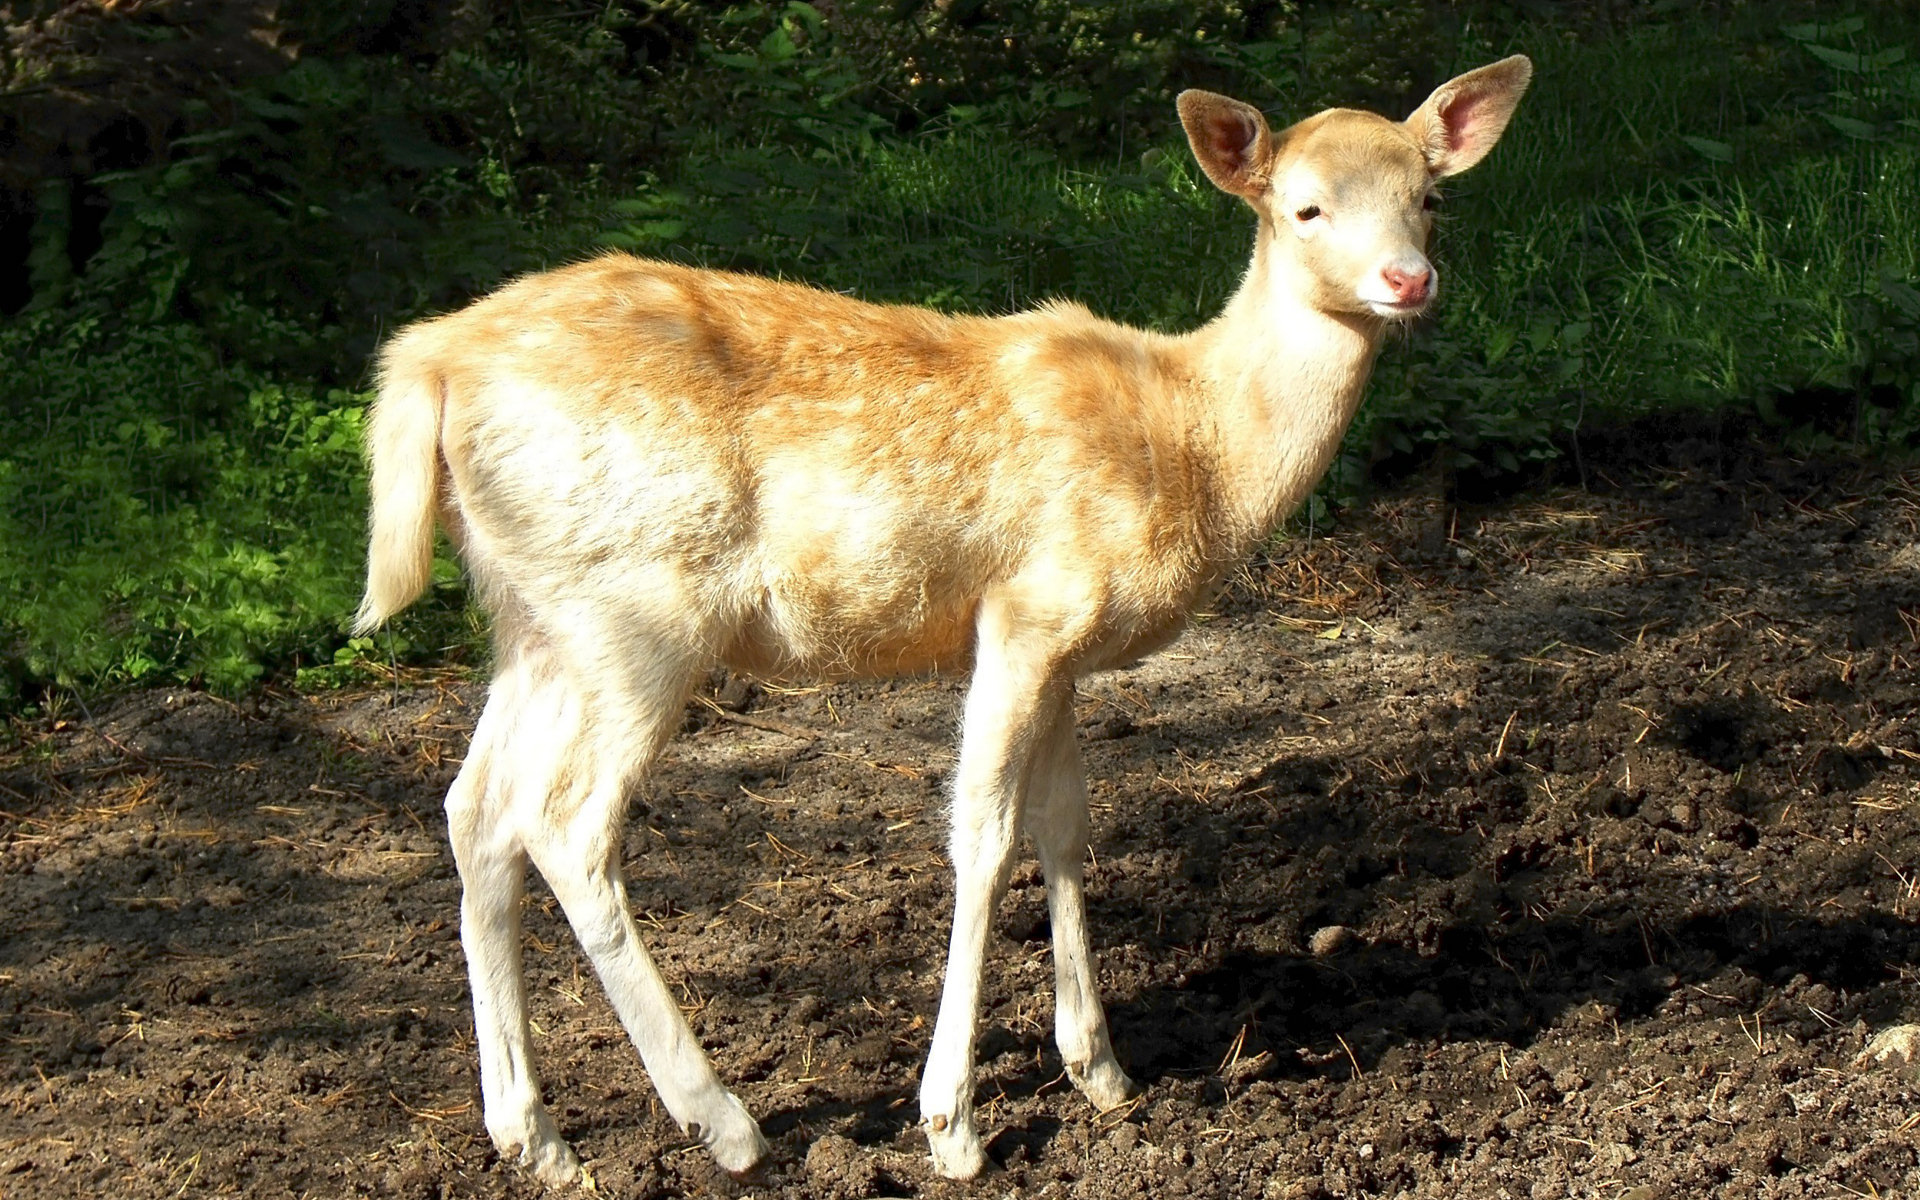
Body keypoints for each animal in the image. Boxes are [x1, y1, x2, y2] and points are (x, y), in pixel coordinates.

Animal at [353, 56, 1536, 1182]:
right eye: (1304, 207)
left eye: (1430, 196)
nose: (1408, 279)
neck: (1192, 442)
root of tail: (427, 361)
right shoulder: (1031, 605)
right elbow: (983, 833)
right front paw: (951, 1122)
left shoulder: (1066, 644)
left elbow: (1067, 822)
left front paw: (1102, 1071)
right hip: (639, 609)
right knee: (564, 823)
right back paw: (726, 1124)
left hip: (534, 617)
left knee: (475, 807)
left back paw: (536, 1139)